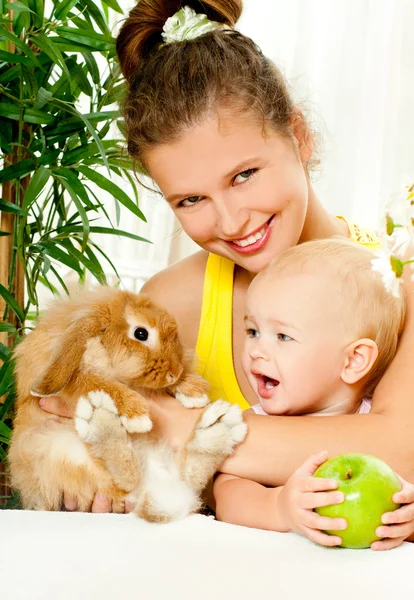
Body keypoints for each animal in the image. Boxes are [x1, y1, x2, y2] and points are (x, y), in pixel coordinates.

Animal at [8, 286, 246, 520]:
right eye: (141, 333)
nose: (174, 372)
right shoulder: (74, 379)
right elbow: (93, 381)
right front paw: (136, 414)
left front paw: (193, 391)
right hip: (58, 451)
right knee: (127, 478)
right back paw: (99, 418)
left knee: (182, 478)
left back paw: (218, 430)